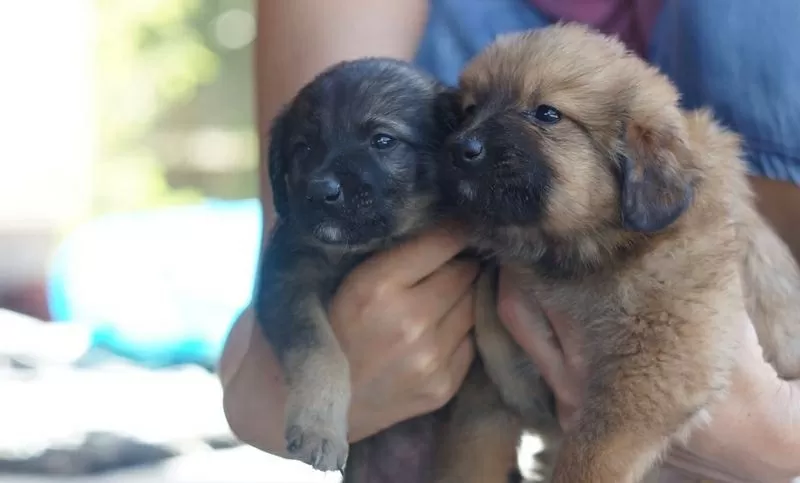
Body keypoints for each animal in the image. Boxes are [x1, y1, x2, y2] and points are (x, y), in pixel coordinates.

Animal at [256, 57, 456, 480]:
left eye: (383, 140)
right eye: (303, 147)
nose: (321, 191)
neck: (363, 248)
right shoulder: (288, 280)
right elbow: (320, 353)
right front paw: (319, 428)